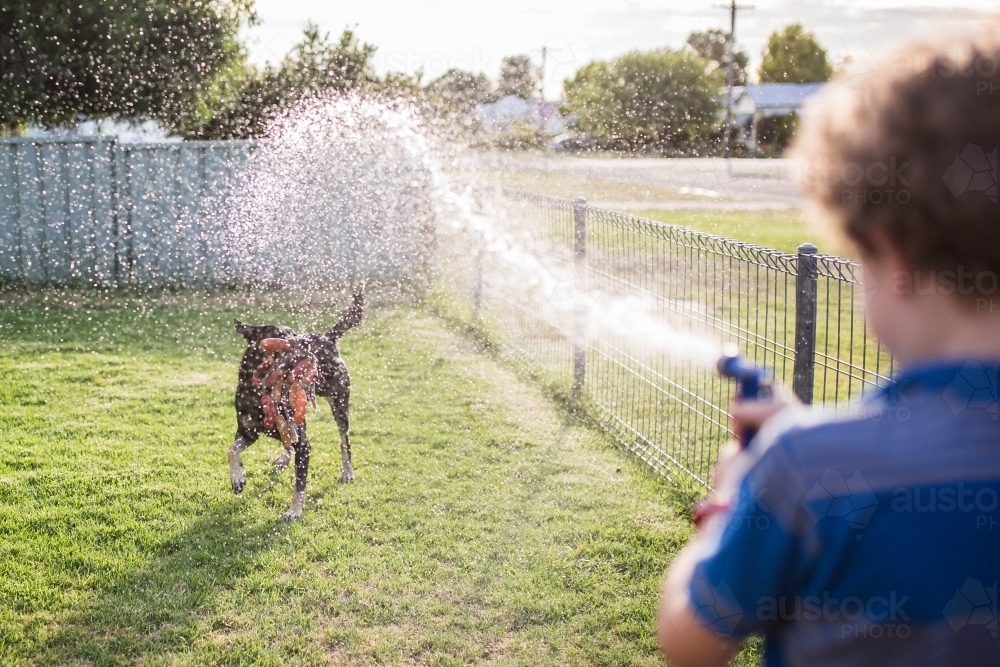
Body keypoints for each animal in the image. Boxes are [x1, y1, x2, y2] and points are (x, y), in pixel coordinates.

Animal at [229, 288, 366, 520]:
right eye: (282, 335)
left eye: (294, 332)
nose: (305, 342)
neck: (262, 394)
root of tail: (328, 337)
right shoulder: (248, 432)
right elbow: (232, 449)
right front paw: (238, 478)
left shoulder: (304, 446)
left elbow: (299, 484)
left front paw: (294, 511)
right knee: (287, 442)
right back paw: (283, 459)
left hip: (339, 405)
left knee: (344, 441)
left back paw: (347, 472)